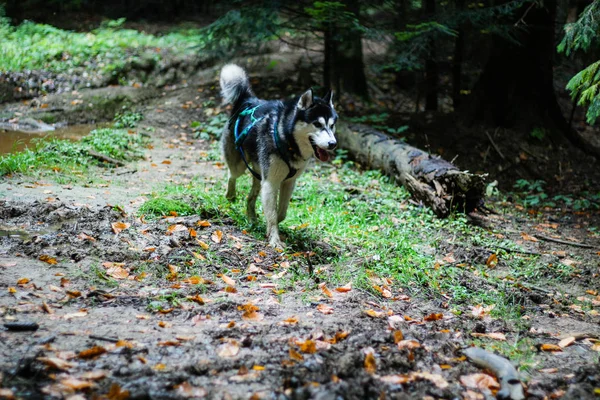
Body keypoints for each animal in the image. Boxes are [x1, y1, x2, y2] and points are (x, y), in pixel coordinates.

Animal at [219, 64, 338, 248]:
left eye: (332, 125)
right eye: (317, 124)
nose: (333, 144)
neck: (288, 140)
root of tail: (248, 100)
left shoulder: (288, 182)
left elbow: (280, 213)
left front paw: (270, 228)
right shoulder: (271, 182)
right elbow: (273, 214)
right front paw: (275, 240)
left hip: (259, 173)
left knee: (251, 196)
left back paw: (252, 217)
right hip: (240, 165)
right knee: (232, 175)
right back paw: (231, 195)